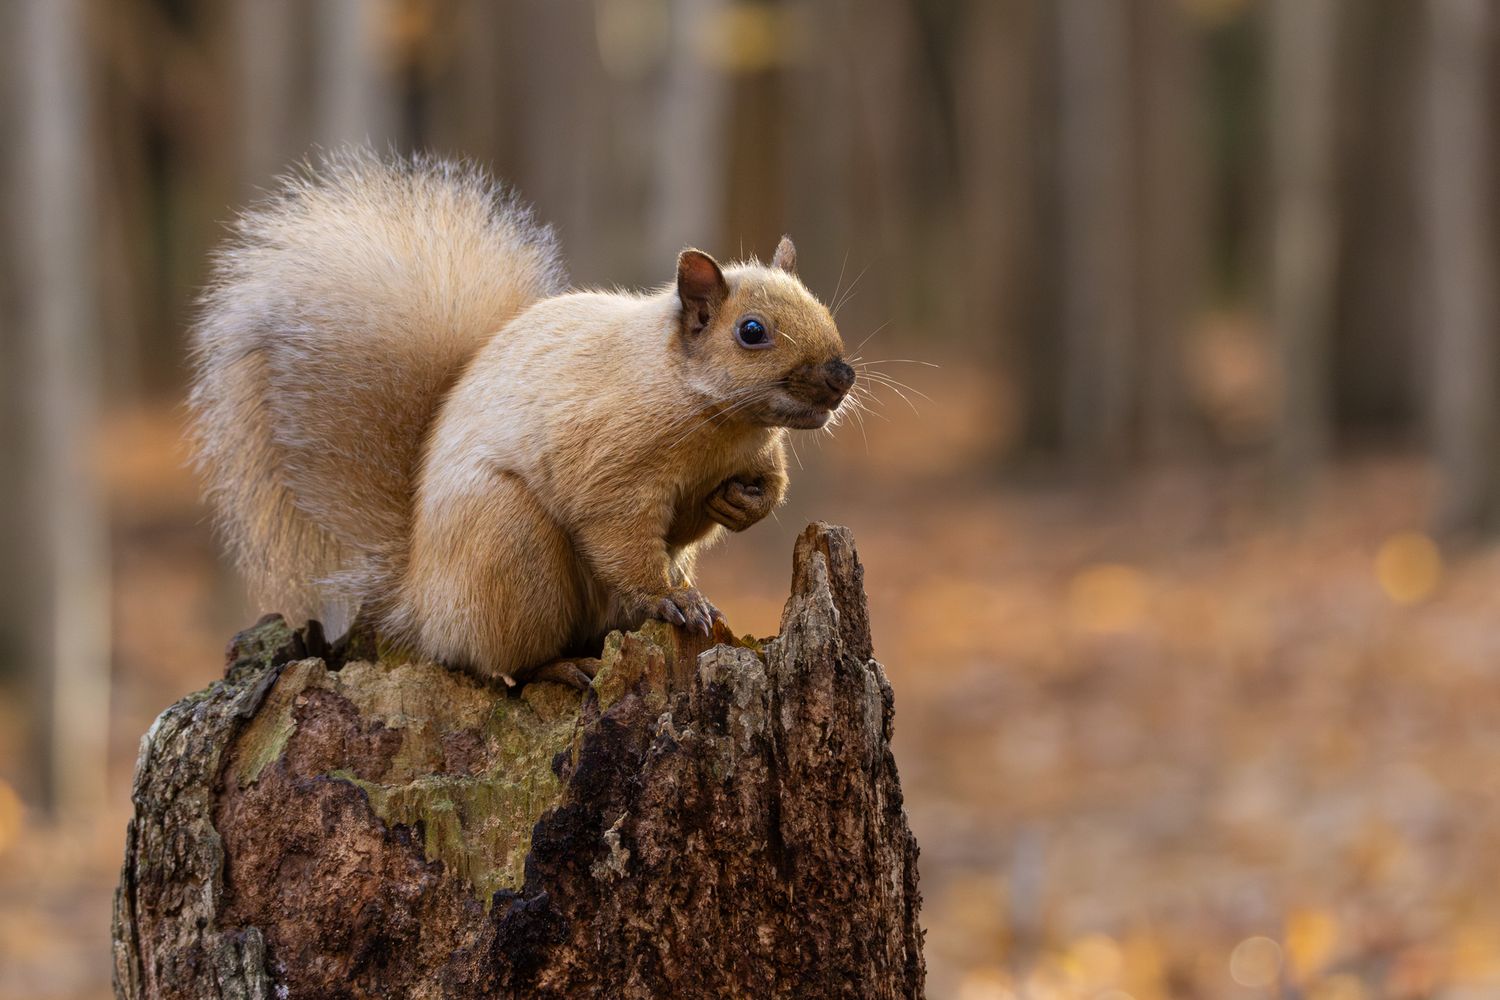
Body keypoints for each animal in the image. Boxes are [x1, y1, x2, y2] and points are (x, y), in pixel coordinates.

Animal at [189, 150, 854, 688]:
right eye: (751, 332)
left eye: (822, 306)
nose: (841, 374)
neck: (713, 418)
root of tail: (422, 602)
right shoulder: (610, 470)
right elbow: (620, 540)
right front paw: (673, 600)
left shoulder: (751, 454)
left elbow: (760, 491)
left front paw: (743, 504)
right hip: (511, 548)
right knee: (505, 662)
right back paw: (562, 666)